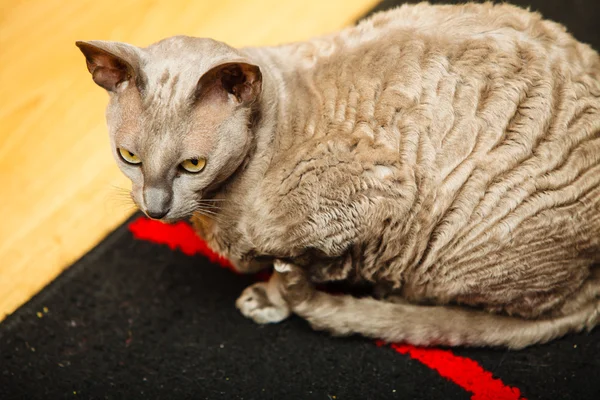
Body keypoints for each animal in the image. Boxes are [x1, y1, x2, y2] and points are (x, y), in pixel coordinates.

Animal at [76, 2, 600, 346]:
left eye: (193, 165)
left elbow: (300, 266)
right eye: (129, 156)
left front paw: (272, 297)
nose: (154, 207)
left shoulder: (366, 206)